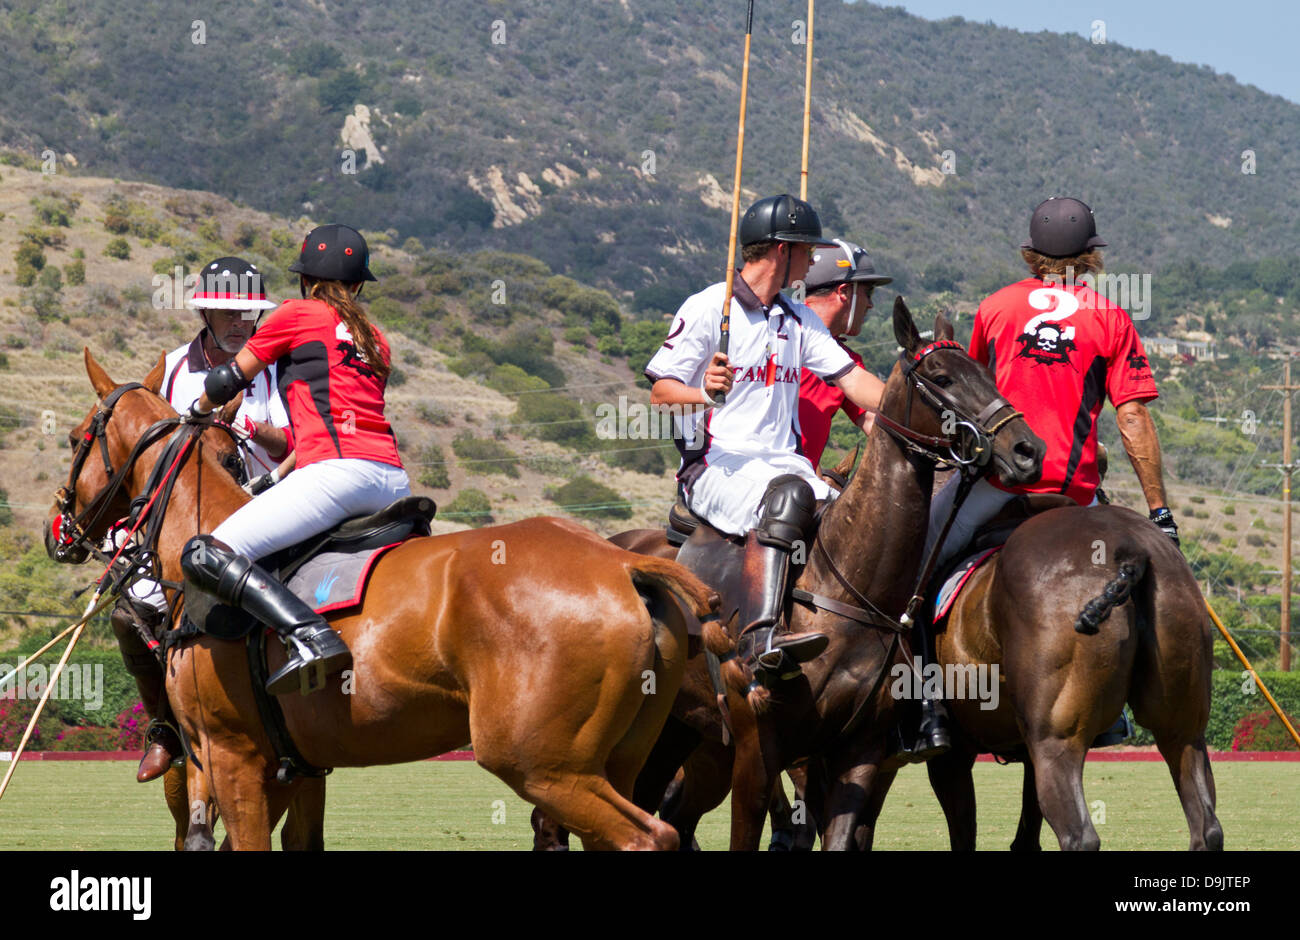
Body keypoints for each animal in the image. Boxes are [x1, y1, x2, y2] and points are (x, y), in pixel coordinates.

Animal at [45, 348, 722, 847]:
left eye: (77, 438)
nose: (60, 532)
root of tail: (625, 563)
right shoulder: (295, 767)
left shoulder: (232, 753)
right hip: (622, 757)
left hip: (543, 764)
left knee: (647, 835)